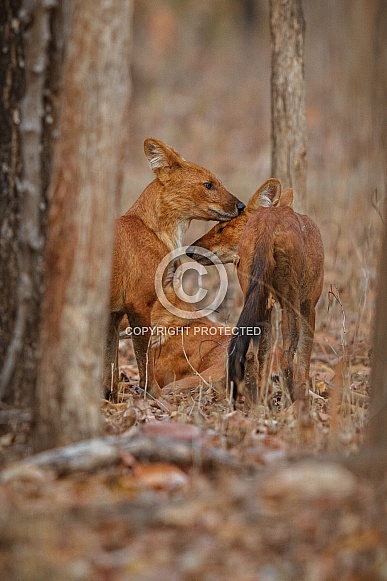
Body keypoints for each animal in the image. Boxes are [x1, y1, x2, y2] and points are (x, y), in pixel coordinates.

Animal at [105, 137, 246, 398]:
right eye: (209, 185)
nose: (241, 205)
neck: (156, 234)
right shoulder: (138, 304)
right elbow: (144, 361)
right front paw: (151, 394)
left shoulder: (114, 312)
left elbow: (110, 370)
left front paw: (112, 399)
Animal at [188, 179, 324, 402]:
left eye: (221, 228)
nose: (190, 249)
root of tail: (267, 221)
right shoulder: (309, 304)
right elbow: (304, 357)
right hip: (289, 301)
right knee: (287, 356)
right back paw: (288, 401)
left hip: (257, 297)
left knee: (260, 352)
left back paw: (259, 401)